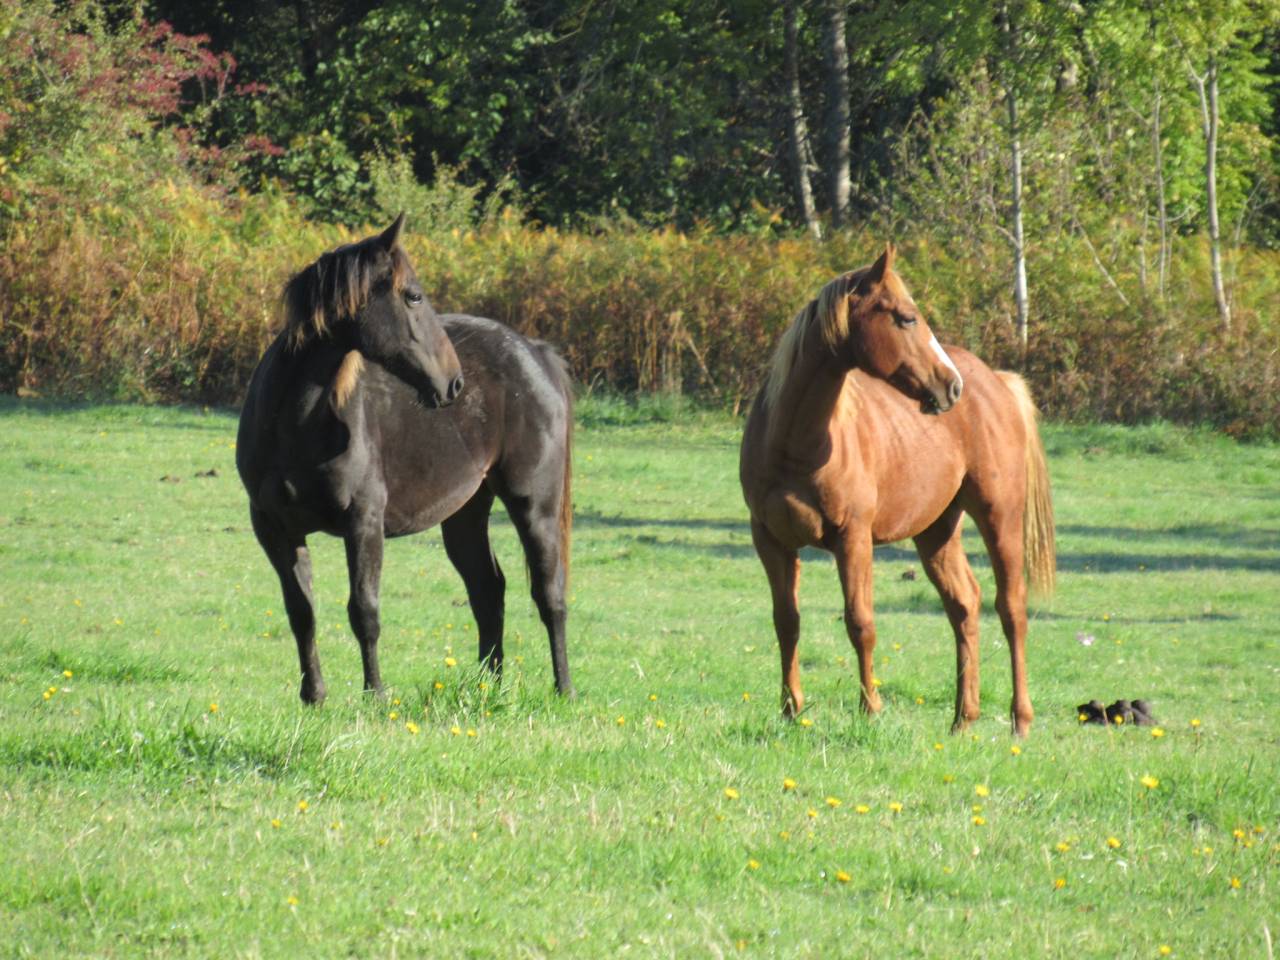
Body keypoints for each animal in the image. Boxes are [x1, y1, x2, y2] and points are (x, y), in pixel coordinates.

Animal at [236, 215, 575, 704]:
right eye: (413, 295)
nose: (454, 382)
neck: (297, 425)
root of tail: (534, 352)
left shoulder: (363, 522)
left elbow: (364, 610)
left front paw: (375, 694)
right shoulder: (274, 528)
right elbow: (301, 612)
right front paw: (313, 695)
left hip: (535, 507)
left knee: (550, 596)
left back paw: (563, 688)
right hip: (465, 514)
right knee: (488, 591)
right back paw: (487, 687)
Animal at [739, 245, 1054, 736]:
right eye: (907, 318)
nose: (951, 386)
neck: (796, 442)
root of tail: (995, 381)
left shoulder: (853, 538)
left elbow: (861, 623)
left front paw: (871, 708)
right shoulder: (770, 540)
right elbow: (786, 622)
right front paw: (791, 710)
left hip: (999, 515)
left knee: (1011, 610)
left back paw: (1020, 720)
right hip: (936, 531)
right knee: (964, 605)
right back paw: (962, 719)